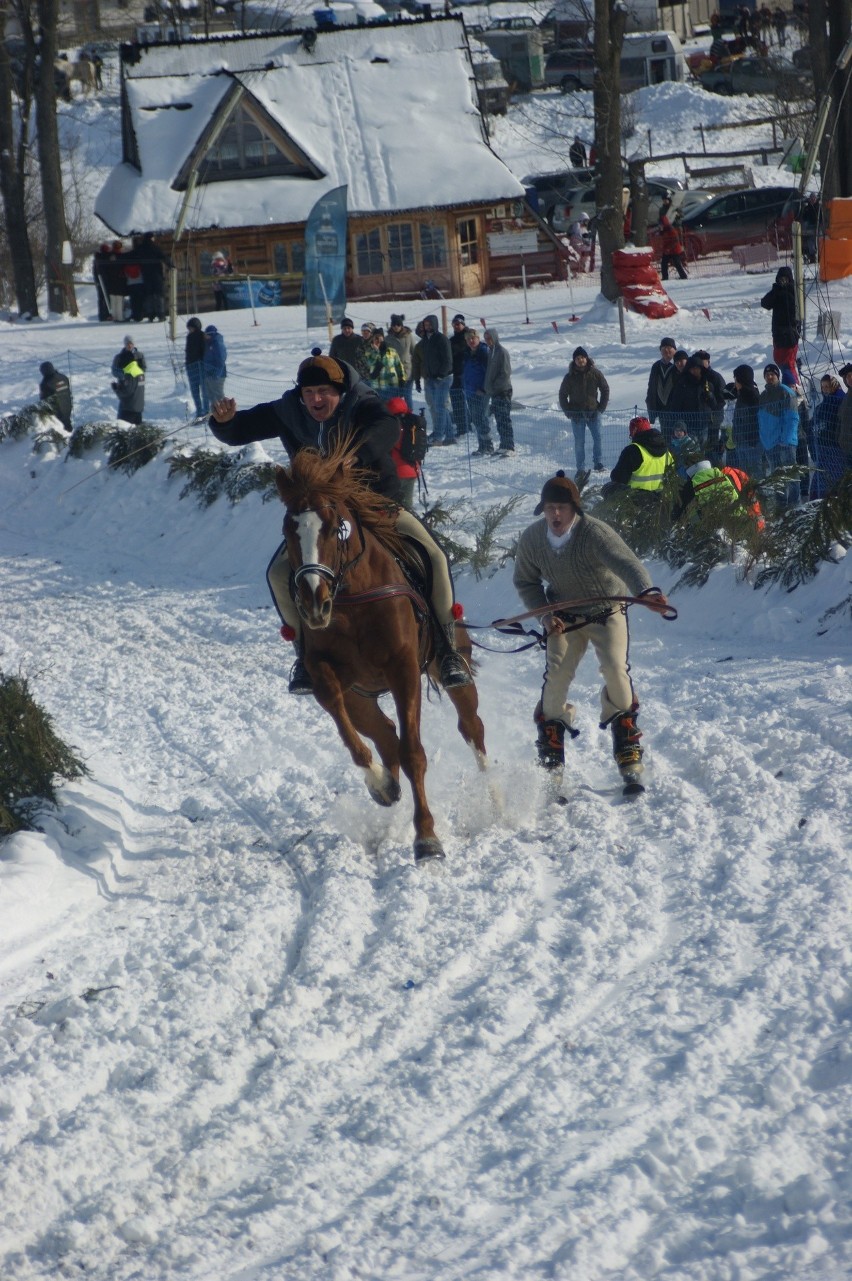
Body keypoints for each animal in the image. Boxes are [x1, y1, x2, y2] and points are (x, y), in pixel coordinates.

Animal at [274, 440, 484, 871]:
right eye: (289, 527)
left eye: (335, 525)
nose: (314, 601)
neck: (353, 598)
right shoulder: (326, 675)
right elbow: (352, 736)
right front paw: (381, 785)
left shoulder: (403, 670)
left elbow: (413, 752)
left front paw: (427, 839)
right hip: (361, 699)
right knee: (384, 734)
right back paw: (389, 793)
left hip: (453, 667)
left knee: (471, 727)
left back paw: (497, 799)